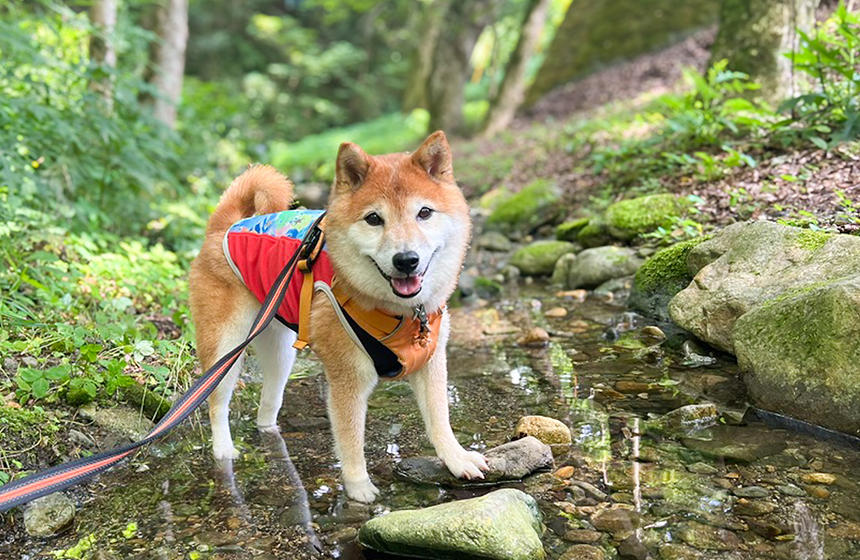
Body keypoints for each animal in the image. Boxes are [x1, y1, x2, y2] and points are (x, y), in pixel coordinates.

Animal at [189, 131, 488, 504]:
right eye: (374, 219)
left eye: (424, 212)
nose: (406, 260)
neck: (401, 314)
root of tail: (225, 226)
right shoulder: (349, 378)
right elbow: (350, 437)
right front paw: (358, 486)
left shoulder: (430, 362)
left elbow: (439, 420)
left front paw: (457, 458)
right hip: (226, 347)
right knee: (216, 402)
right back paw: (224, 449)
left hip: (281, 352)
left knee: (268, 403)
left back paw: (271, 431)